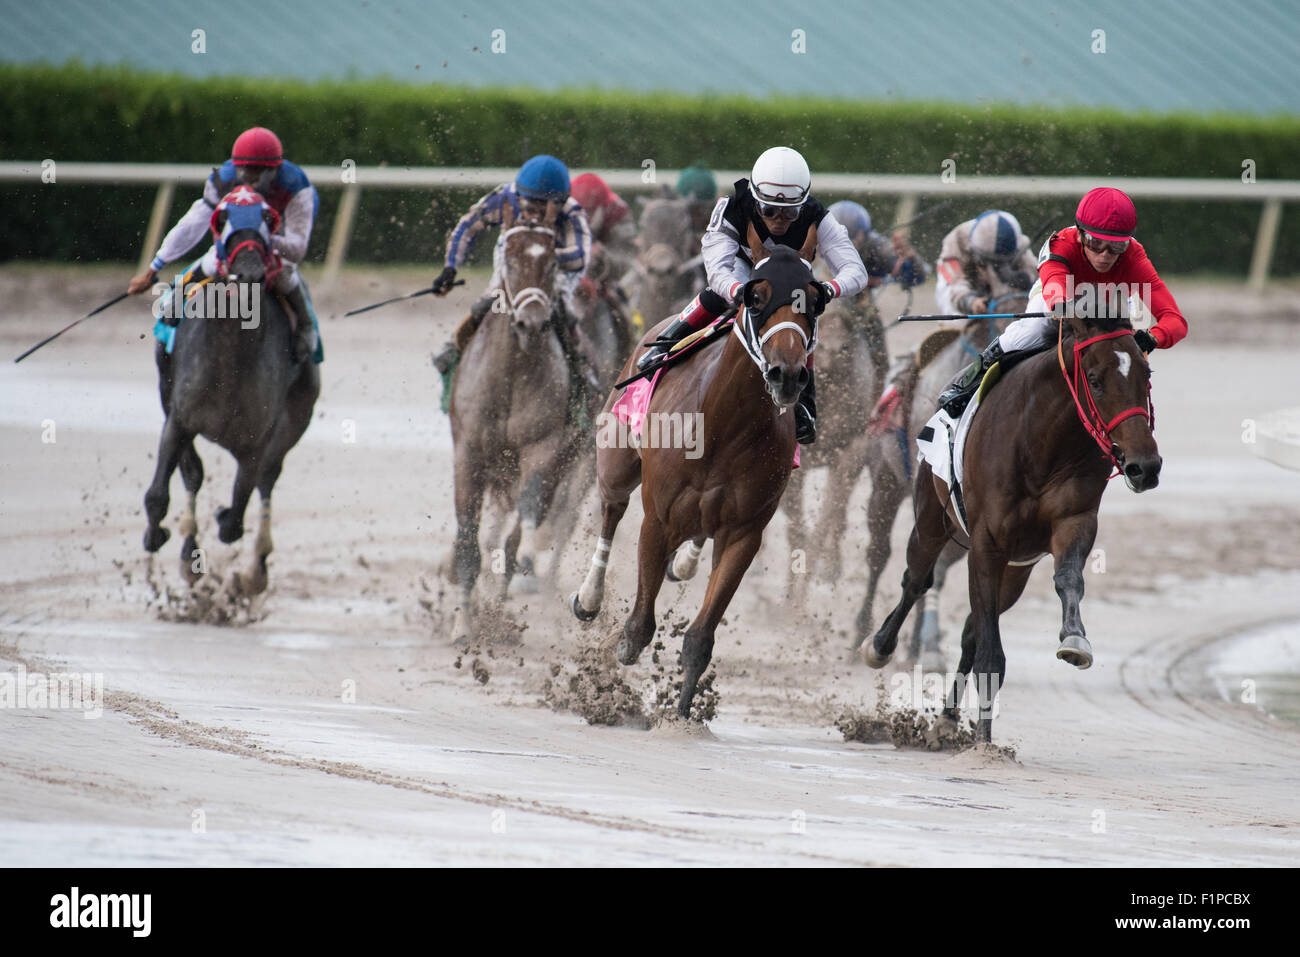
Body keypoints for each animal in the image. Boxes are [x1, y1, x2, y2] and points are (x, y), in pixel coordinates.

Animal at [143, 191, 319, 595]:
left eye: (268, 218)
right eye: (222, 218)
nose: (250, 271)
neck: (230, 359)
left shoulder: (257, 439)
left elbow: (238, 512)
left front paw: (225, 520)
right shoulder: (179, 417)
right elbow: (164, 490)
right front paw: (158, 538)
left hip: (296, 416)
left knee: (267, 481)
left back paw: (256, 570)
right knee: (193, 474)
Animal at [452, 201, 585, 642]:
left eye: (552, 262)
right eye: (509, 258)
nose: (532, 323)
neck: (512, 372)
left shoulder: (541, 448)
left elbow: (521, 524)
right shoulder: (469, 453)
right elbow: (467, 538)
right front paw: (462, 623)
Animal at [572, 227, 816, 712]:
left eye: (814, 302)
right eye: (756, 297)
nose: (786, 375)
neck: (723, 423)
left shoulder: (744, 533)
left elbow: (700, 638)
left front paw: (683, 713)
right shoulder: (658, 518)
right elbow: (638, 628)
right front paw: (624, 648)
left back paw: (683, 562)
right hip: (616, 459)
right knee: (611, 509)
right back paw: (589, 597)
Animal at [863, 310, 1159, 743]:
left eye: (1146, 373)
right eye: (1094, 378)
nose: (1145, 466)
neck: (1044, 445)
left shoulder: (1072, 522)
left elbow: (1068, 579)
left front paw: (1075, 637)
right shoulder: (986, 543)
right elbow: (990, 654)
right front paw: (985, 744)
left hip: (1015, 572)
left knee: (970, 629)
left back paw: (948, 717)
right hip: (930, 517)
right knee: (916, 579)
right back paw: (879, 645)